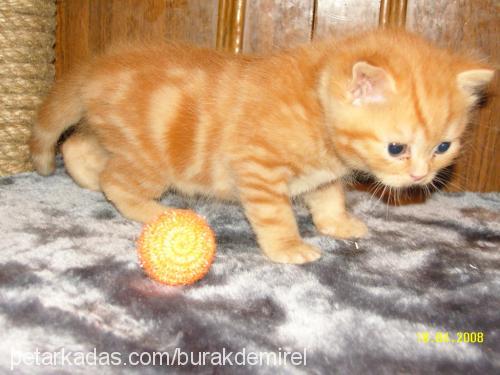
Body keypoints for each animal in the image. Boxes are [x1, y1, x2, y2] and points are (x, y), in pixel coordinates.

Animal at [30, 30, 492, 264]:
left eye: (443, 146)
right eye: (397, 148)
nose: (420, 175)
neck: (315, 108)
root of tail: (96, 66)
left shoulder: (321, 176)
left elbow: (329, 198)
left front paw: (337, 224)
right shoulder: (258, 168)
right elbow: (276, 216)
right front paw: (288, 248)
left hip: (117, 138)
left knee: (78, 144)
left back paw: (86, 176)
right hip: (151, 159)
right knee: (117, 180)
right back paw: (151, 210)